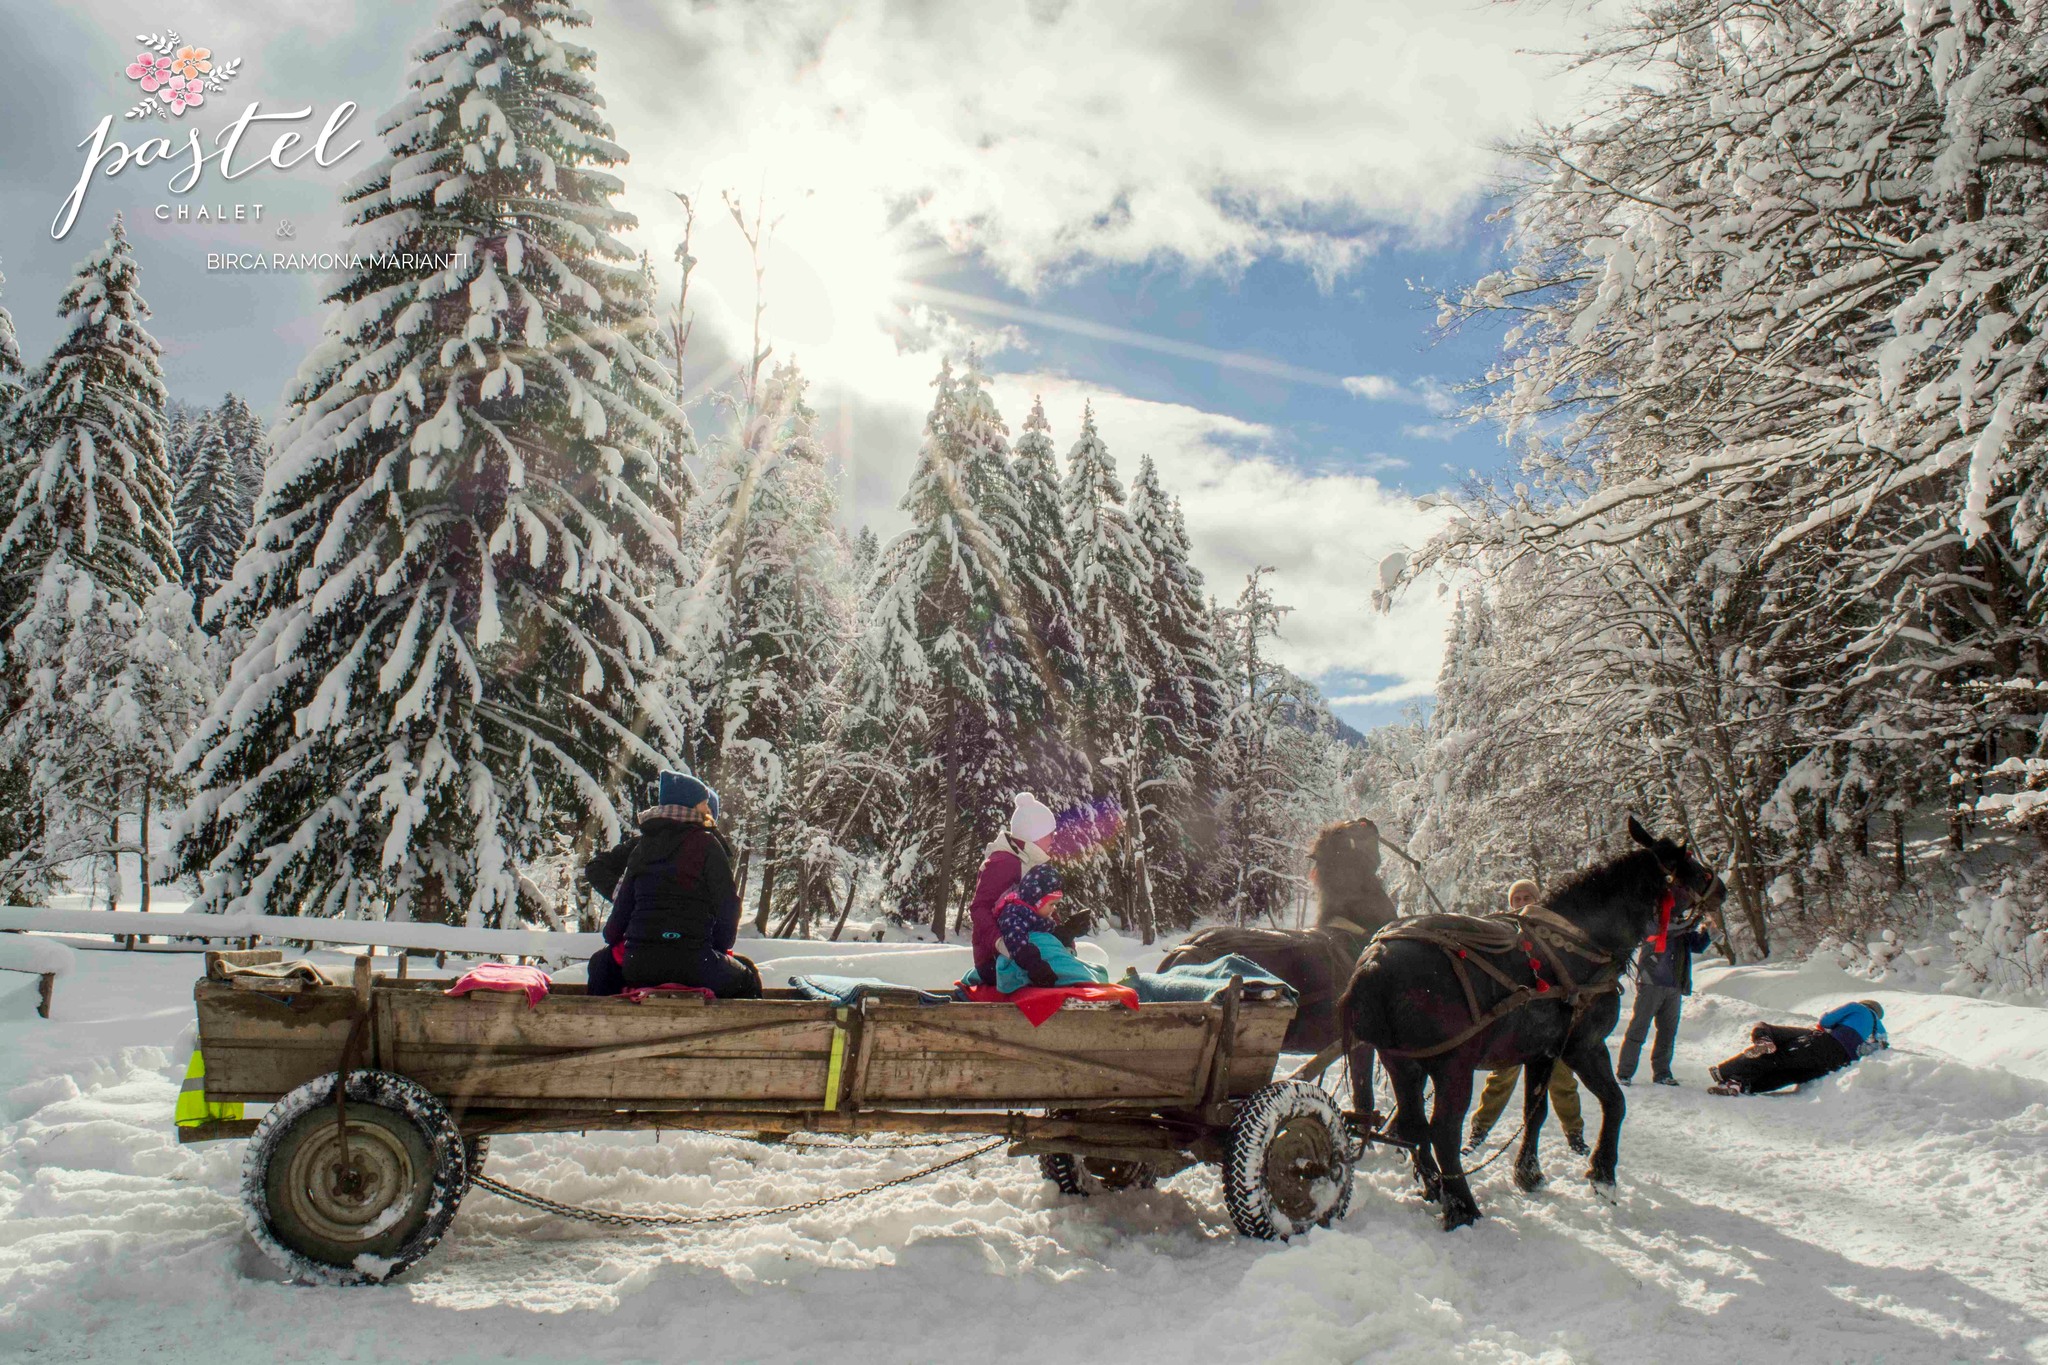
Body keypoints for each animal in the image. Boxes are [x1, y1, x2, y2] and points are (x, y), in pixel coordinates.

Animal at [1335, 818, 1720, 1236]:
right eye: (1691, 865)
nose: (1722, 887)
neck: (1583, 939)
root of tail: (1372, 962)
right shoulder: (1583, 1045)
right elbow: (1615, 1103)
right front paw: (1603, 1174)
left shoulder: (1542, 1052)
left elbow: (1535, 1113)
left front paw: (1528, 1173)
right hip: (1452, 1067)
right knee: (1442, 1132)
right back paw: (1463, 1207)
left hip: (1402, 1063)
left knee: (1411, 1125)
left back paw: (1436, 1187)